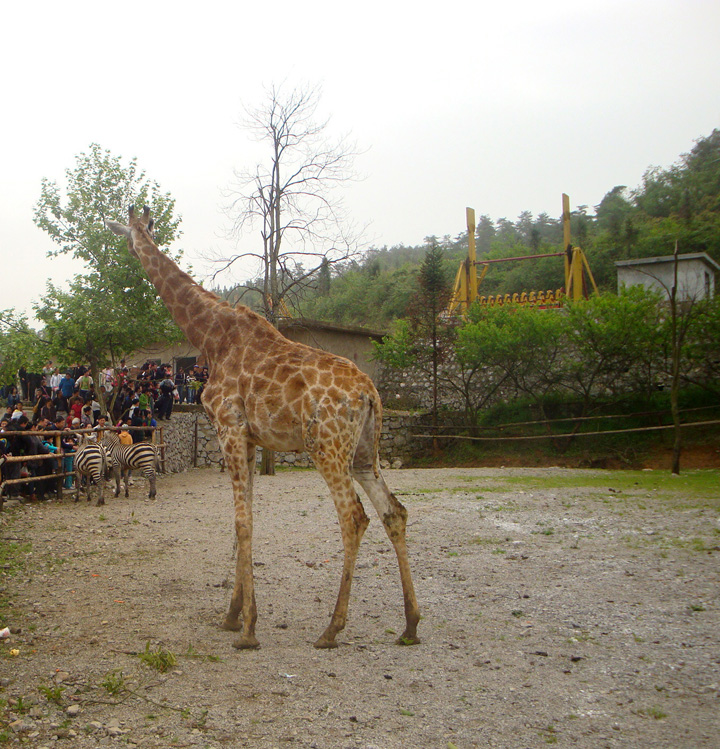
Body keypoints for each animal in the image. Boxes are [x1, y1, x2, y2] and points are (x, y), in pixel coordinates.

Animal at [108, 206, 422, 648]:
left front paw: (248, 630)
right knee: (394, 511)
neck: (210, 335)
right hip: (364, 452)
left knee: (354, 517)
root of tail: (370, 394)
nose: (132, 251)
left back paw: (331, 629)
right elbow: (246, 518)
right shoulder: (252, 438)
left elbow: (242, 522)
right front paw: (232, 616)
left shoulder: (229, 428)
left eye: (129, 235)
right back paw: (410, 625)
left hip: (326, 447)